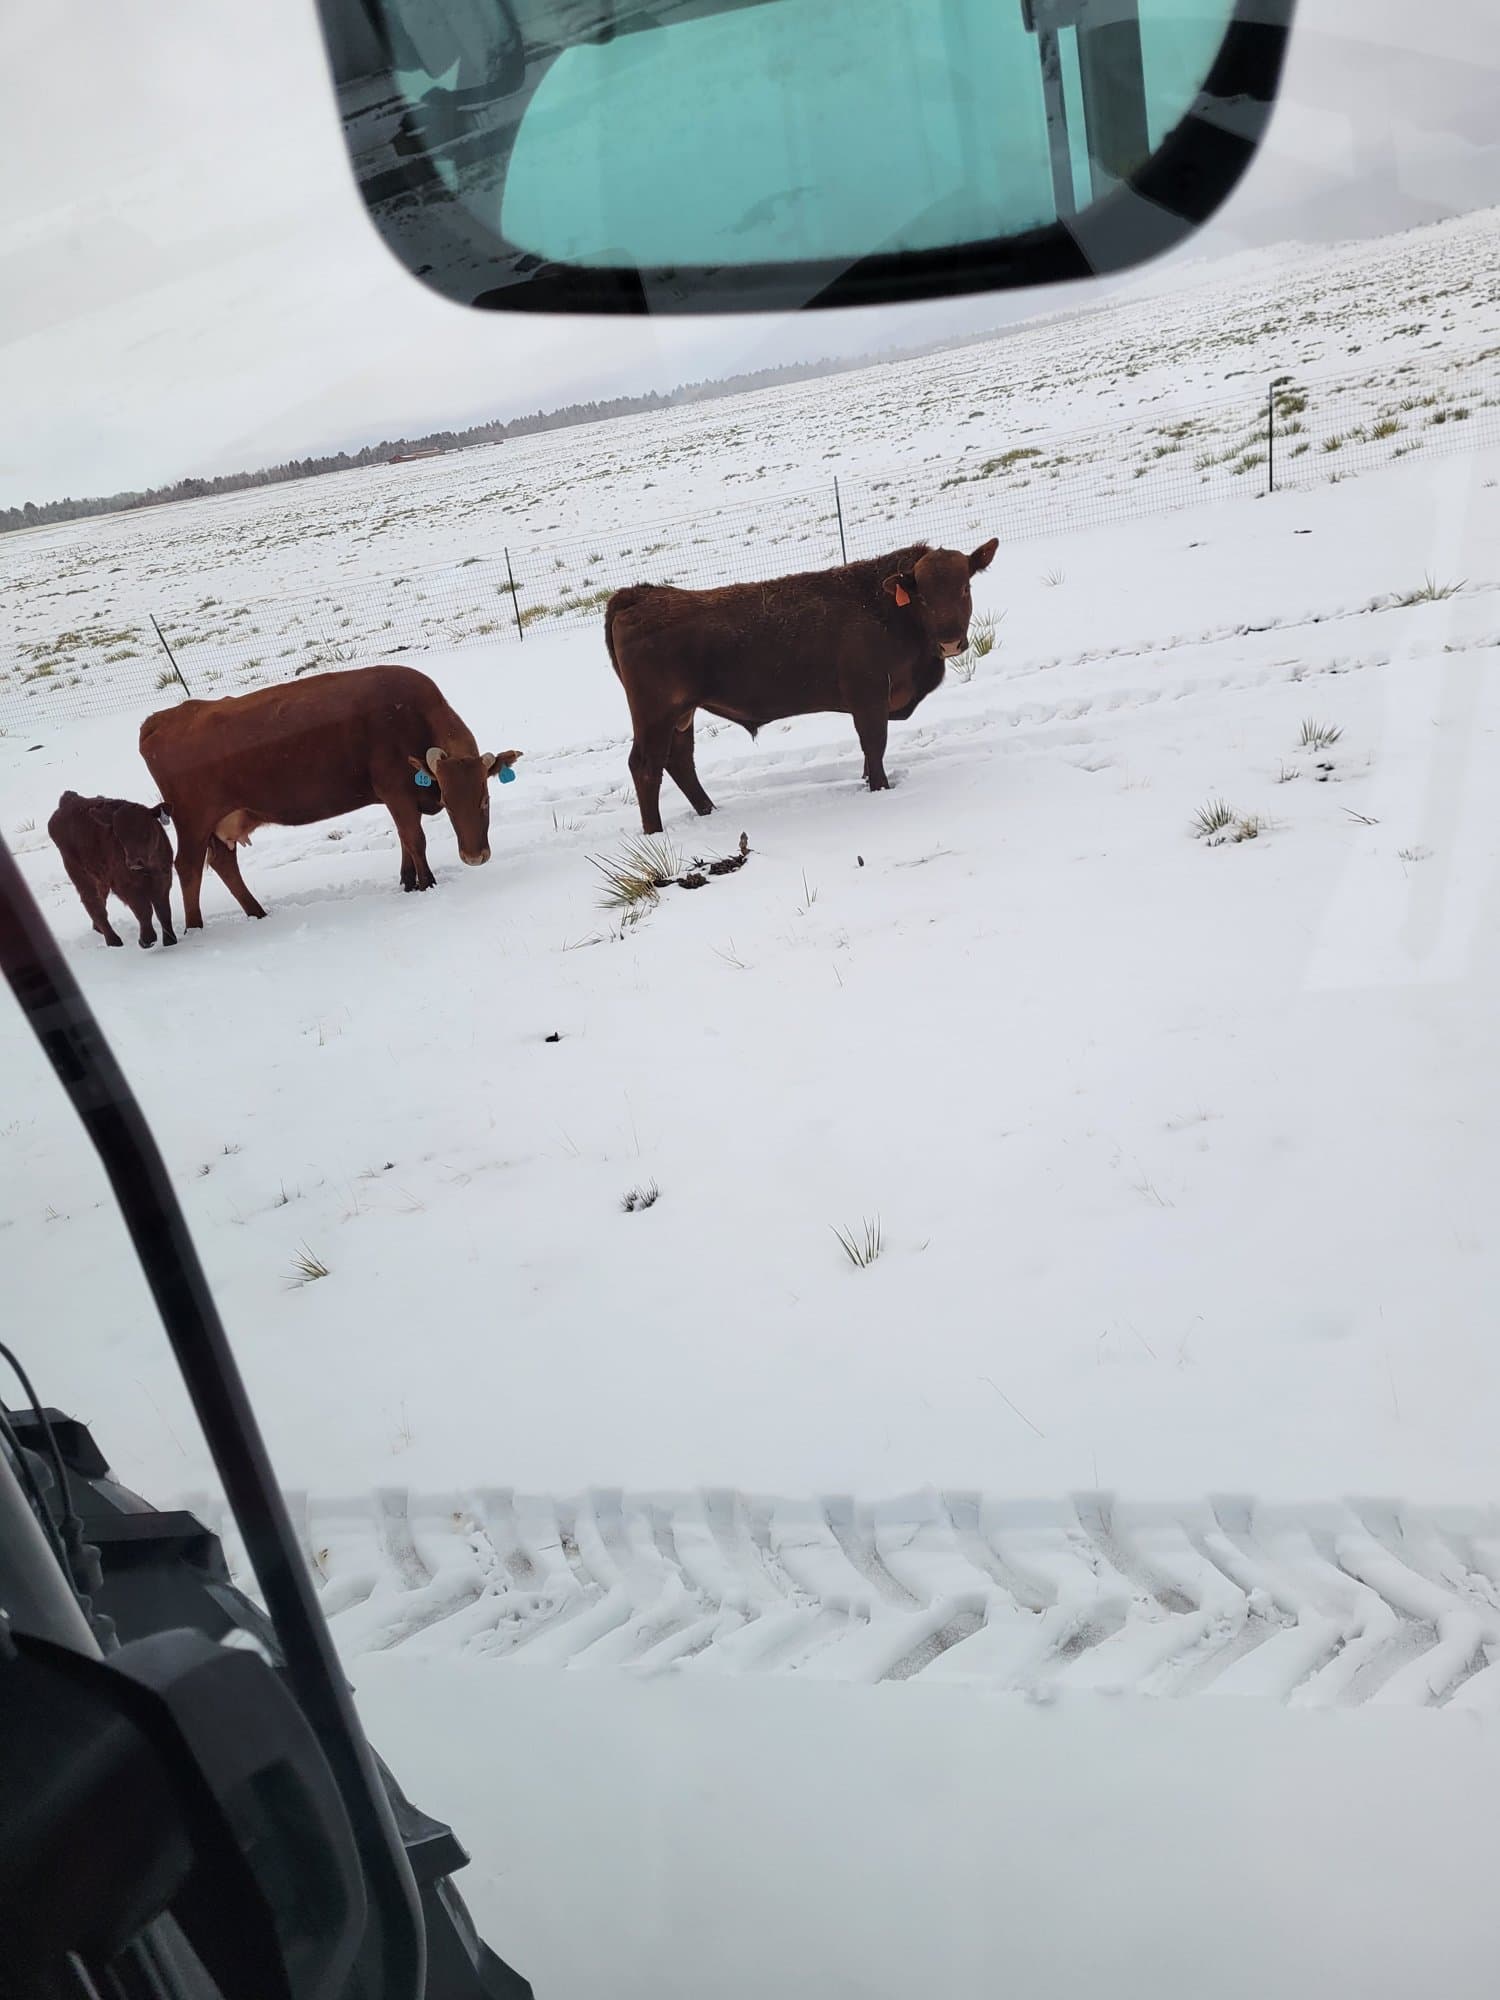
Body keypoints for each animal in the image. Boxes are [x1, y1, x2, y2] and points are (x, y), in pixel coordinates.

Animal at [48, 792, 177, 950]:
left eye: (145, 830)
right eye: (119, 836)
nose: (134, 862)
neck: (150, 867)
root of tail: (69, 799)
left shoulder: (164, 879)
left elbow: (163, 911)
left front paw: (170, 941)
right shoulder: (125, 887)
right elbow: (144, 910)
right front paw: (147, 939)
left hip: (100, 878)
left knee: (100, 899)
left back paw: (98, 929)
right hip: (79, 874)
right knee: (94, 904)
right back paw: (113, 941)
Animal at [138, 665, 521, 928]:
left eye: (484, 800)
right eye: (450, 805)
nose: (474, 857)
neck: (409, 715)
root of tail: (162, 718)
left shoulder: (400, 799)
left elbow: (404, 840)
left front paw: (408, 881)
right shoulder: (396, 792)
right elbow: (415, 839)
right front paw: (427, 883)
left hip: (223, 823)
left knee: (223, 864)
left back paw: (257, 913)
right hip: (193, 821)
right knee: (189, 869)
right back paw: (195, 927)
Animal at [604, 538, 998, 834]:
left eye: (965, 588)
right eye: (923, 597)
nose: (950, 642)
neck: (886, 611)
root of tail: (639, 595)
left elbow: (870, 753)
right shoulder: (868, 697)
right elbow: (874, 745)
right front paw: (880, 788)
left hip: (681, 714)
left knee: (680, 761)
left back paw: (709, 811)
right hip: (656, 715)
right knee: (646, 766)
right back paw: (656, 833)